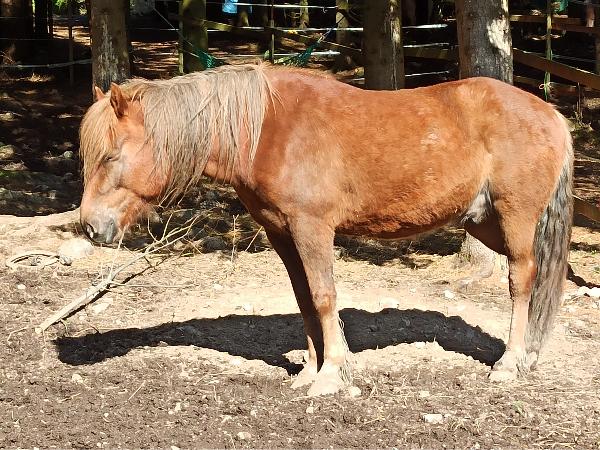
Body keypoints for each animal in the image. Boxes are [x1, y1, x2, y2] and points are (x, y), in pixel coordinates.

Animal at [79, 64, 573, 396]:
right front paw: (310, 369)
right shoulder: (283, 233)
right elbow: (304, 300)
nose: (90, 226)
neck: (267, 132)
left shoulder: (313, 229)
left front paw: (332, 374)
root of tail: (551, 113)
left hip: (515, 218)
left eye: (111, 156)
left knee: (522, 280)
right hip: (484, 222)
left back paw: (510, 362)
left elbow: (323, 296)